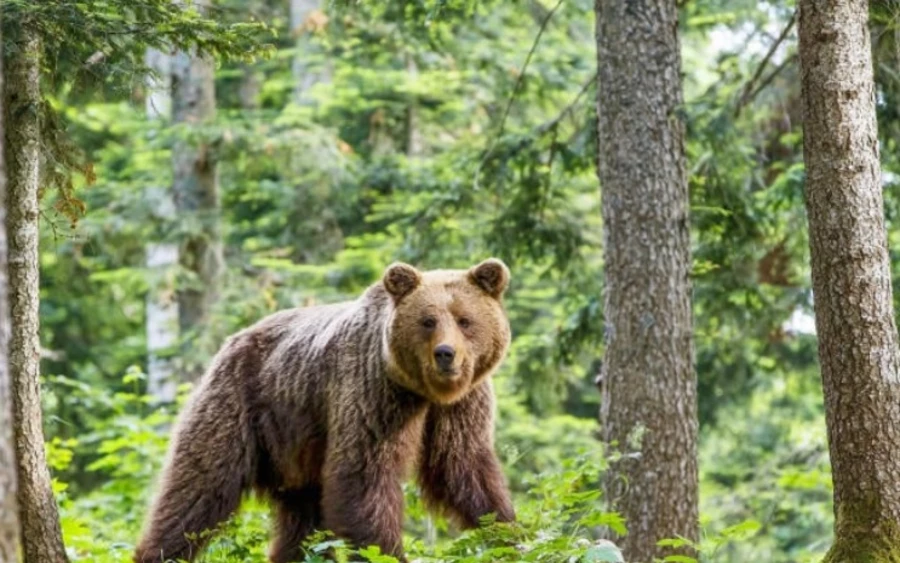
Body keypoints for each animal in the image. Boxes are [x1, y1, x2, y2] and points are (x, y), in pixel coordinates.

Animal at [131, 258, 516, 563]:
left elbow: (464, 467)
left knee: (302, 523)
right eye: (427, 321)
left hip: (295, 449)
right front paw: (388, 552)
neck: (421, 390)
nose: (446, 354)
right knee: (197, 489)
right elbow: (363, 474)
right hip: (238, 406)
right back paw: (158, 550)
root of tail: (231, 342)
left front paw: (509, 534)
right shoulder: (372, 392)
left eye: (464, 320)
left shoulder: (461, 404)